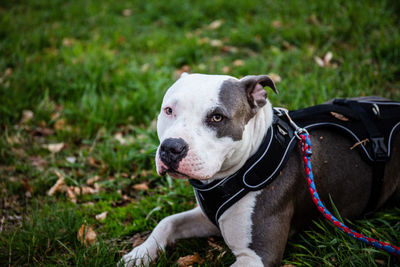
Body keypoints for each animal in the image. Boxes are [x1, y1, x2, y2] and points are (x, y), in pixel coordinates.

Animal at [122, 72, 400, 266]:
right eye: (168, 110)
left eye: (217, 117)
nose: (171, 147)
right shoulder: (208, 217)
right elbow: (168, 221)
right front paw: (140, 253)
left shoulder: (259, 256)